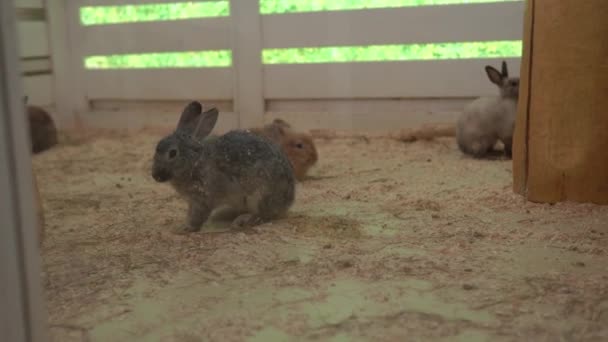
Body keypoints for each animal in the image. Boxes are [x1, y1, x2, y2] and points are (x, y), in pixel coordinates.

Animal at [151, 101, 296, 232]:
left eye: (172, 153)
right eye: (157, 147)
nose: (155, 176)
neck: (195, 161)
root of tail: (287, 202)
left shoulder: (203, 198)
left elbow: (197, 216)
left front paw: (185, 228)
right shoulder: (192, 201)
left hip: (259, 196)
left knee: (263, 215)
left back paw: (241, 220)